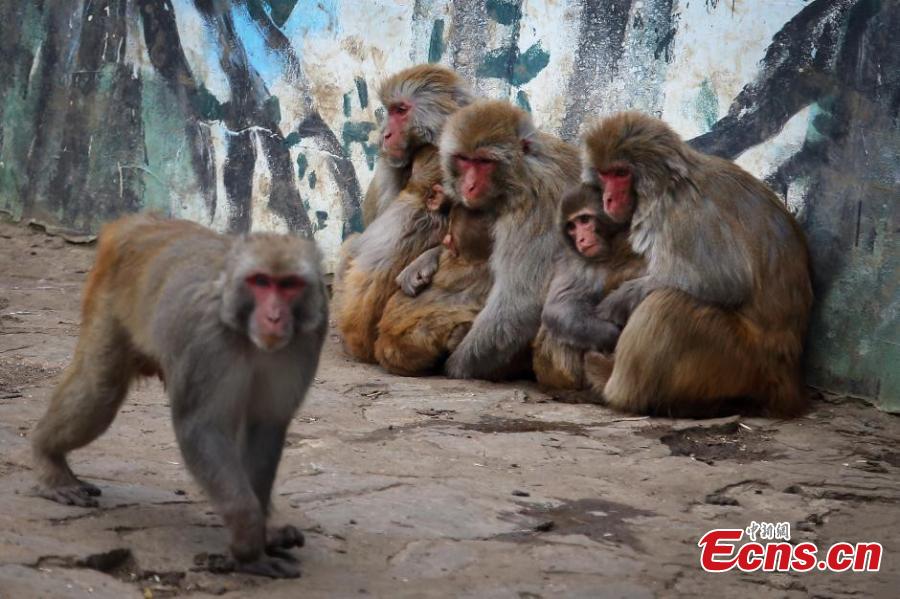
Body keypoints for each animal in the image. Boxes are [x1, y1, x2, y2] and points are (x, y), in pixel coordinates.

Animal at [31, 215, 328, 578]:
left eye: (289, 285)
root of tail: (144, 222)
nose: (274, 316)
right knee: (100, 391)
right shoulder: (206, 340)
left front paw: (261, 535)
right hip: (110, 296)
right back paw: (49, 461)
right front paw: (248, 545)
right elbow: (201, 427)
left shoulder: (310, 334)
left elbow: (266, 424)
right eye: (261, 281)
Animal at [418, 100, 581, 379]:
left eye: (484, 162)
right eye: (464, 160)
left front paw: (456, 364)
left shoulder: (538, 209)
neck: (522, 174)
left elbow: (521, 298)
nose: (469, 187)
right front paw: (423, 262)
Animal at [533, 183, 646, 390]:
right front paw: (613, 336)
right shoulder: (573, 259)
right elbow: (559, 308)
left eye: (584, 219)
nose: (581, 239)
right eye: (571, 227)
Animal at [581, 111, 813, 416]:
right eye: (604, 174)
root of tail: (788, 377)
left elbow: (724, 281)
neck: (667, 186)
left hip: (740, 359)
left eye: (621, 173)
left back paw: (615, 387)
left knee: (666, 307)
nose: (608, 198)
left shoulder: (681, 217)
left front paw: (620, 300)